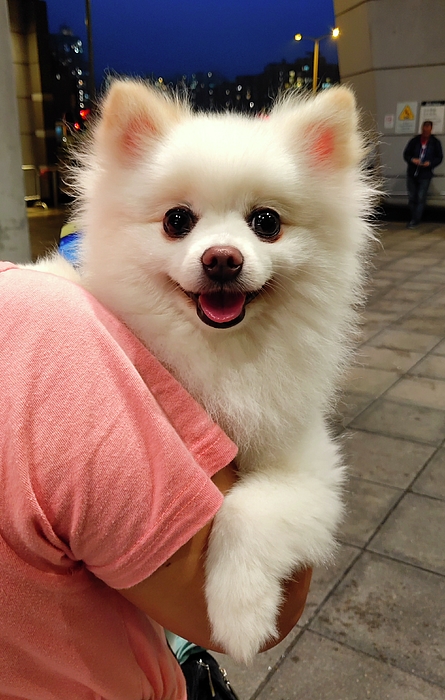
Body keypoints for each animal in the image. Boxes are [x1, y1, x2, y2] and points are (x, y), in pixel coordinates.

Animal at [35, 80, 374, 660]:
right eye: (177, 220)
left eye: (266, 223)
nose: (221, 259)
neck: (217, 353)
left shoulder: (307, 464)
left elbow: (244, 509)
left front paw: (241, 613)